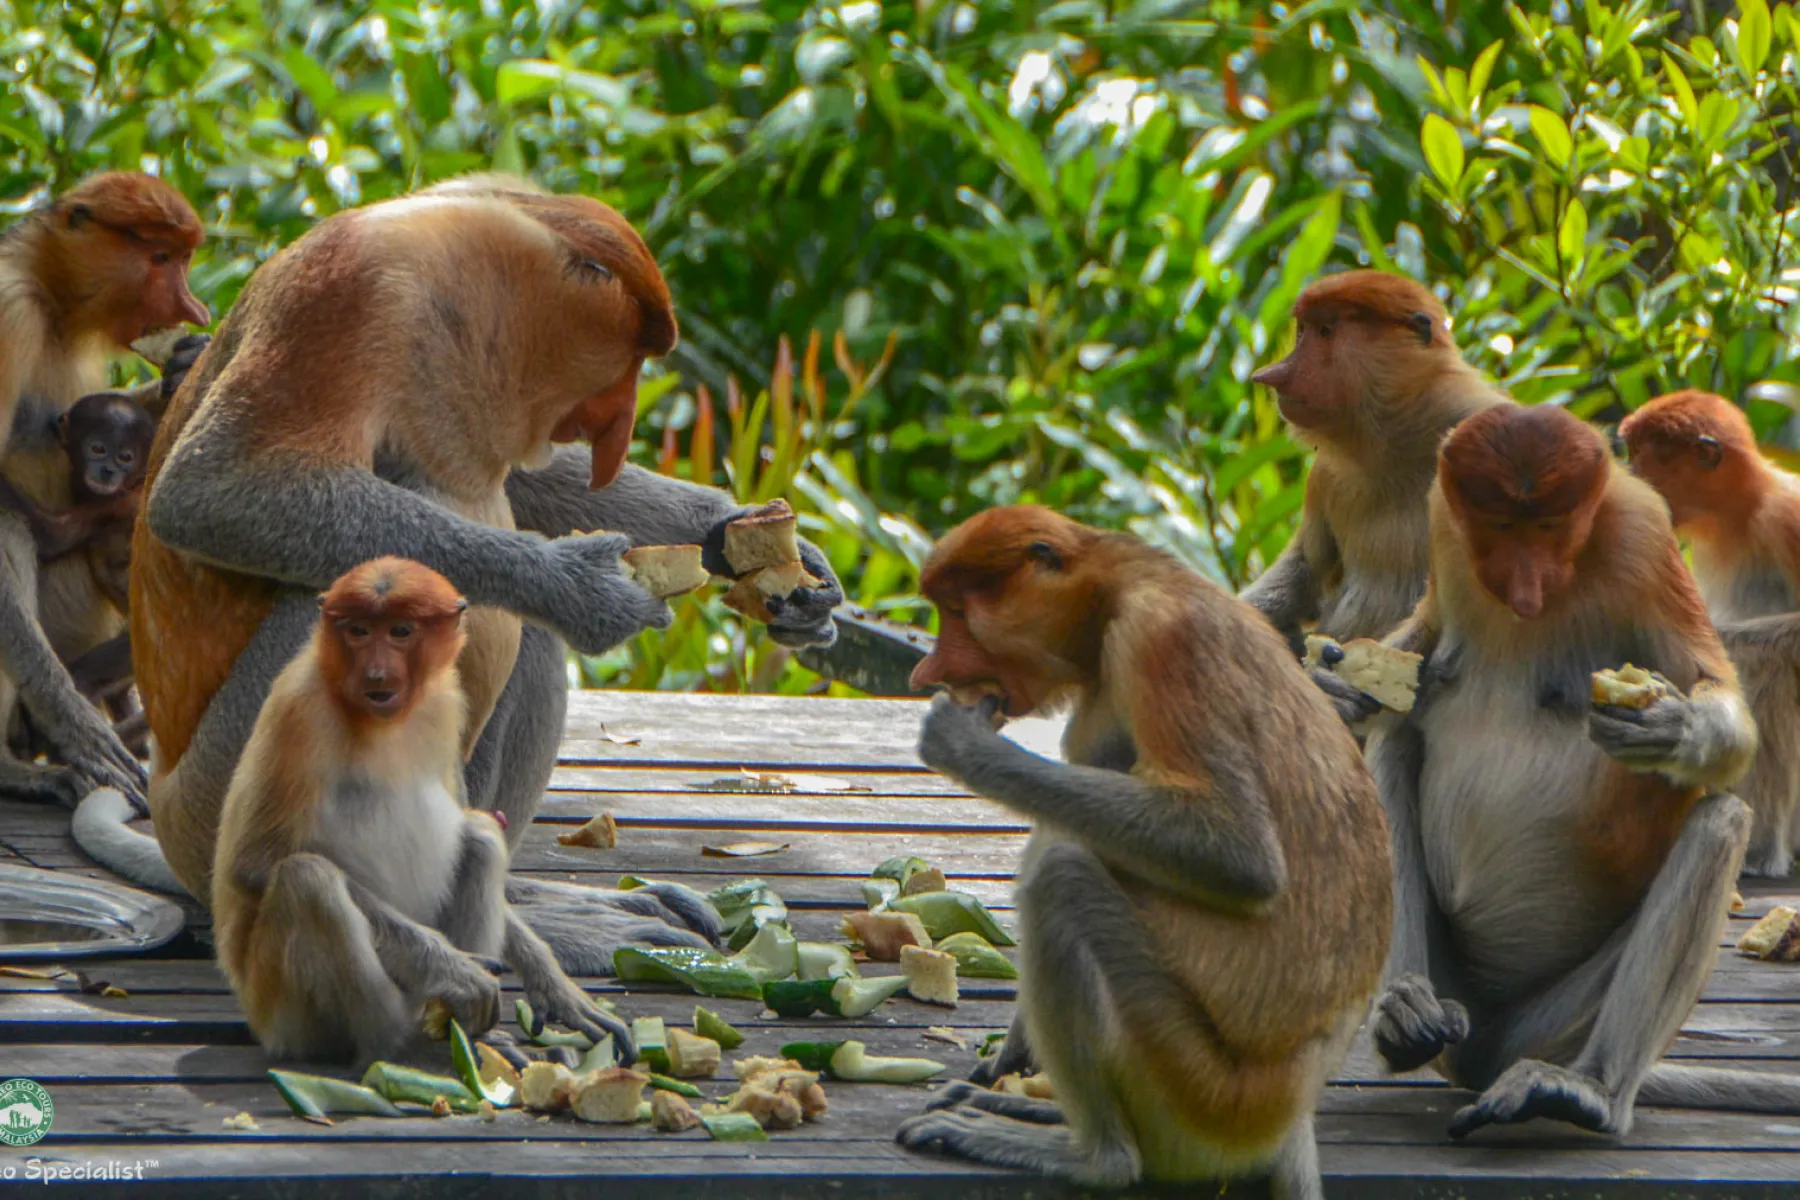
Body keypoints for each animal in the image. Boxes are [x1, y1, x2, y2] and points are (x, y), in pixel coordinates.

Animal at [0, 173, 209, 810]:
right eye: (160, 258)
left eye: (183, 258)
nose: (193, 310)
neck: (48, 295)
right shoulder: (6, 312)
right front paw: (80, 733)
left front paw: (183, 367)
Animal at [71, 174, 839, 974]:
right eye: (631, 357)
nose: (621, 422)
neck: (465, 274)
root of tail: (168, 807)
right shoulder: (351, 294)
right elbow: (212, 490)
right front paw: (581, 588)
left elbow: (531, 483)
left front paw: (758, 549)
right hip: (225, 794)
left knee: (527, 639)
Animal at [213, 558, 629, 1064]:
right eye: (357, 631)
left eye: (400, 631)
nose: (375, 674)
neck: (381, 719)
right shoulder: (301, 711)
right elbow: (253, 863)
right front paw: (459, 971)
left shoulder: (447, 700)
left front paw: (556, 988)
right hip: (286, 1016)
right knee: (308, 880)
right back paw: (400, 1045)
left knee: (481, 837)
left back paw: (471, 1037)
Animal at [892, 505, 1392, 1198]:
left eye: (960, 613)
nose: (927, 674)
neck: (1116, 591)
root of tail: (1289, 1110)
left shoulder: (1162, 639)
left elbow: (1241, 856)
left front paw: (963, 743)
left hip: (1198, 1092)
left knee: (1064, 876)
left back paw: (1094, 1156)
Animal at [1239, 271, 1507, 718]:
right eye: (1303, 330)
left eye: (1326, 331)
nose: (1273, 374)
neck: (1397, 444)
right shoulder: (1326, 476)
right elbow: (1302, 571)